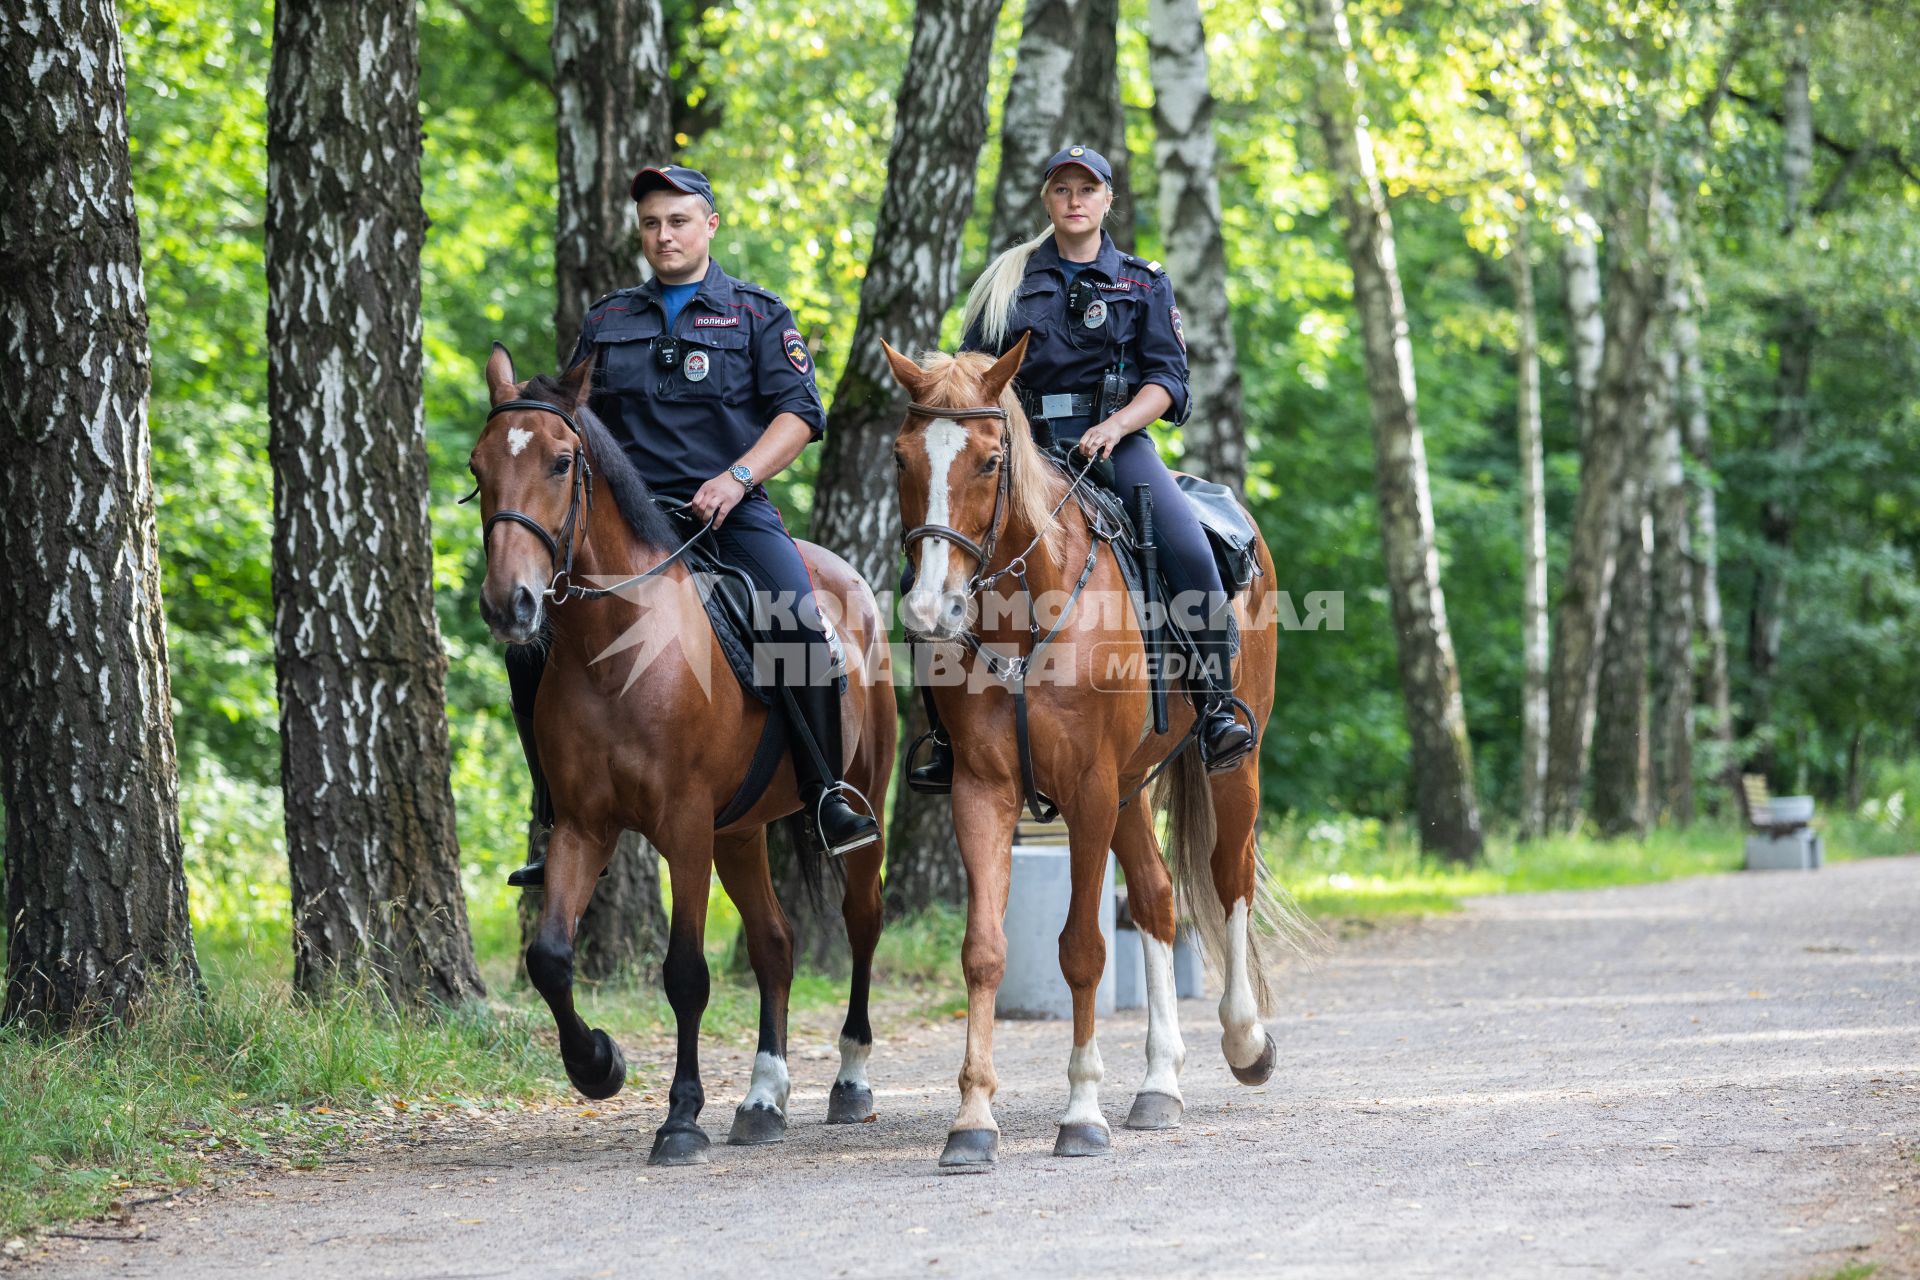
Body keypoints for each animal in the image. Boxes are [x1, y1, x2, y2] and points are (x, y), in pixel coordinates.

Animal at [468, 345, 894, 1166]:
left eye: (561, 461)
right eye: (479, 467)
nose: (511, 605)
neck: (617, 649)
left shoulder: (685, 827)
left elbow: (686, 974)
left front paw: (681, 1118)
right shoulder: (585, 827)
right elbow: (550, 957)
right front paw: (597, 1063)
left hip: (853, 803)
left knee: (862, 920)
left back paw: (852, 1080)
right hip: (741, 832)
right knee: (774, 945)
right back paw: (763, 1098)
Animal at [883, 339, 1305, 1174]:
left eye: (988, 460)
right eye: (903, 456)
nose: (929, 608)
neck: (1028, 614)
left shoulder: (1085, 790)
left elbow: (1082, 948)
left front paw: (1080, 1111)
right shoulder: (985, 790)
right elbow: (984, 951)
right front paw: (972, 1120)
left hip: (1228, 767)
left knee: (1229, 879)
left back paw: (1245, 1042)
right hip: (1131, 788)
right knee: (1156, 900)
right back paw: (1159, 1085)